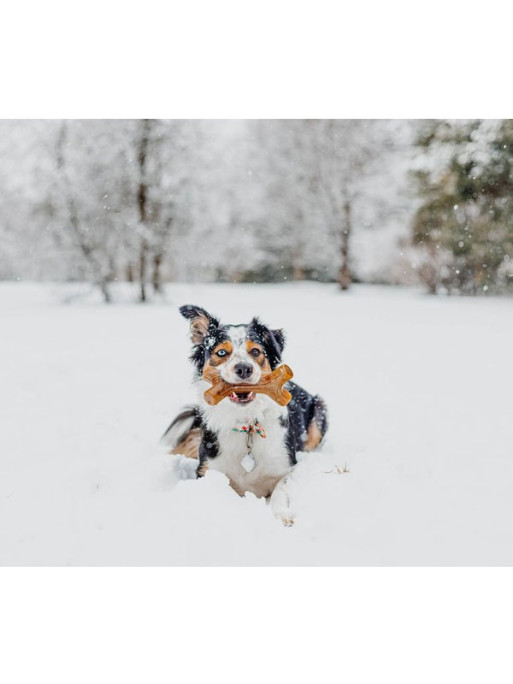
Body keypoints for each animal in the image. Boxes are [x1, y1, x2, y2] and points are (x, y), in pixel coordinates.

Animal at [161, 304, 328, 524]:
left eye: (256, 351)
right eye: (221, 352)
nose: (244, 368)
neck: (246, 422)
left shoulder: (286, 467)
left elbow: (280, 490)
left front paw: (282, 515)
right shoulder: (209, 470)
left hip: (319, 410)